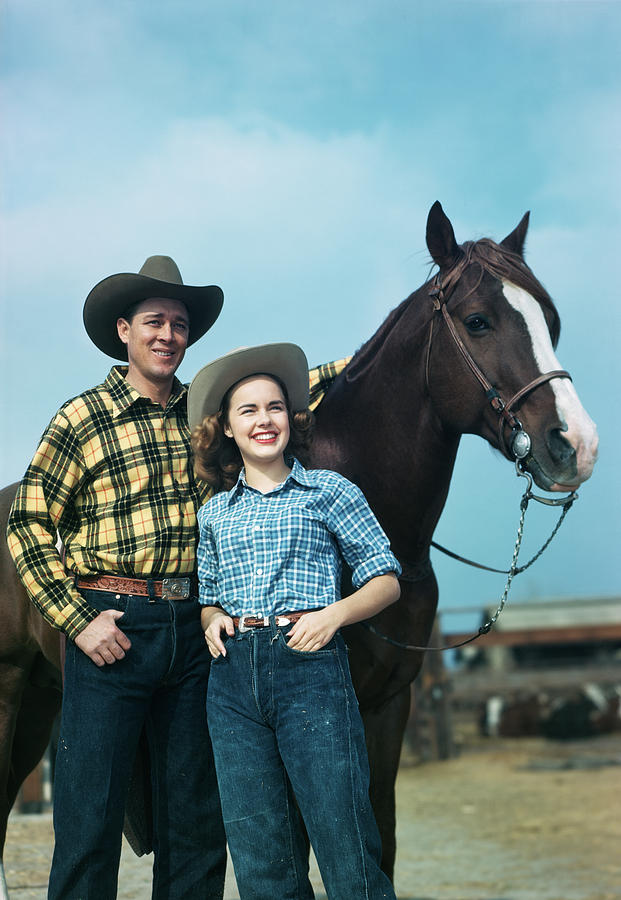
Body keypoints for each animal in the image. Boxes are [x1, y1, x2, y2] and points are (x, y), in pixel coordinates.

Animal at [1, 200, 600, 884]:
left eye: (551, 319)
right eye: (478, 321)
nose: (575, 445)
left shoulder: (385, 709)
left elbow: (377, 839)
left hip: (41, 703)